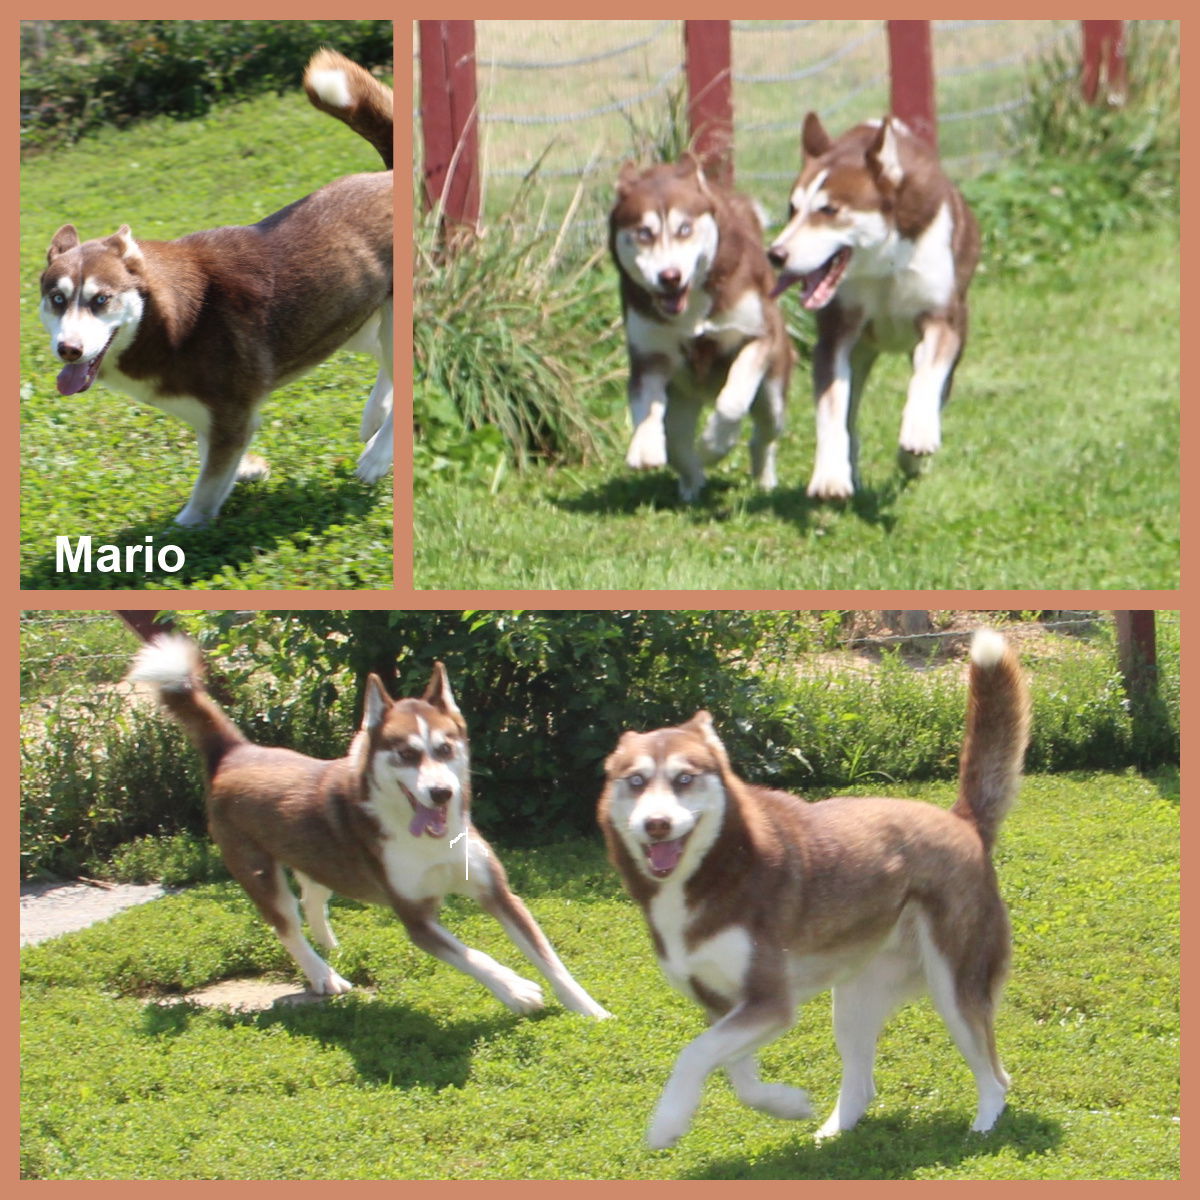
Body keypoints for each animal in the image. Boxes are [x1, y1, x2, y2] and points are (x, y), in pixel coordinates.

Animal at [39, 48, 396, 525]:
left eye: (101, 299)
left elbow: (207, 488)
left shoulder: (231, 413)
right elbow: (215, 453)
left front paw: (187, 526)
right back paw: (375, 415)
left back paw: (377, 454)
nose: (69, 350)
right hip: (345, 320)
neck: (167, 322)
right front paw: (251, 469)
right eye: (57, 300)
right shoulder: (217, 417)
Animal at [131, 633, 609, 1017]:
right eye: (406, 754)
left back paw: (328, 942)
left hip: (321, 857)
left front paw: (590, 1009)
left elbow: (550, 959)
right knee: (287, 925)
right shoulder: (416, 917)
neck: (427, 842)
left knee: (313, 894)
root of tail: (233, 752)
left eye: (445, 748)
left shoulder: (498, 892)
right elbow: (474, 956)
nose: (441, 793)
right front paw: (516, 991)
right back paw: (323, 973)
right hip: (258, 872)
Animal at [595, 628, 1027, 1142]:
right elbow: (738, 1076)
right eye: (636, 781)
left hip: (953, 986)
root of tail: (961, 821)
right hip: (854, 997)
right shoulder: (723, 1004)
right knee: (862, 1082)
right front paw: (786, 1104)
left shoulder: (770, 1001)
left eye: (684, 778)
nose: (656, 824)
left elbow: (694, 1053)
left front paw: (667, 1122)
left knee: (996, 1074)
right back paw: (833, 1131)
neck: (711, 874)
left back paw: (983, 1124)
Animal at [609, 156, 796, 501]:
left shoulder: (756, 336)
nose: (669, 276)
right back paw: (692, 480)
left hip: (772, 393)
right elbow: (646, 405)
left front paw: (714, 445)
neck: (692, 306)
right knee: (677, 444)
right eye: (643, 233)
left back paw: (763, 476)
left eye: (684, 229)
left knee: (764, 435)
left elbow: (733, 400)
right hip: (682, 400)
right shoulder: (649, 356)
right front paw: (644, 444)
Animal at [763, 114, 979, 499]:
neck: (883, 263)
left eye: (829, 209)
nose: (775, 254)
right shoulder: (836, 333)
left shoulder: (941, 320)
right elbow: (832, 407)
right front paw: (831, 475)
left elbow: (926, 378)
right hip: (861, 351)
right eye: (792, 208)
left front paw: (917, 438)